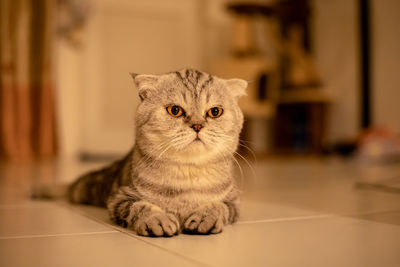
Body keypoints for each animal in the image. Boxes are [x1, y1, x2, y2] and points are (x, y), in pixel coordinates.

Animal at [69, 68, 247, 237]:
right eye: (175, 110)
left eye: (215, 112)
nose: (197, 126)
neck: (188, 175)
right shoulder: (119, 199)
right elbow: (141, 206)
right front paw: (158, 219)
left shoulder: (233, 202)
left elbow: (219, 206)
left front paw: (205, 217)